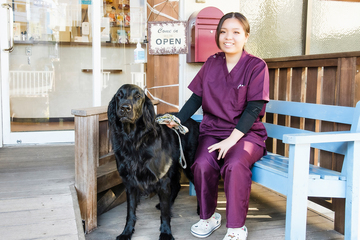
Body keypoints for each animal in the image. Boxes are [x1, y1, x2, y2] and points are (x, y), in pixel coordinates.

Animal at [108, 83, 198, 239]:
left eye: (138, 96)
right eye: (119, 95)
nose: (125, 108)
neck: (134, 140)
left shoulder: (162, 179)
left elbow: (165, 213)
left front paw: (166, 233)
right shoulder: (130, 182)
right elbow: (130, 212)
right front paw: (126, 232)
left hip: (189, 166)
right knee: (176, 186)